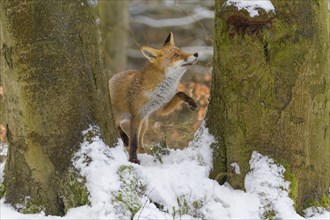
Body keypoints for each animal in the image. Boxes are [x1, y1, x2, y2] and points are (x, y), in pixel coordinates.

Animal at [109, 32, 199, 163]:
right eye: (176, 55)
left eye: (182, 51)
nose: (196, 54)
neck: (162, 88)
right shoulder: (137, 115)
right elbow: (134, 142)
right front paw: (133, 159)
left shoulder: (162, 107)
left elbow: (180, 93)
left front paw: (191, 102)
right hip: (121, 115)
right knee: (118, 125)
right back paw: (125, 139)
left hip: (144, 122)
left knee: (141, 139)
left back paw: (143, 150)